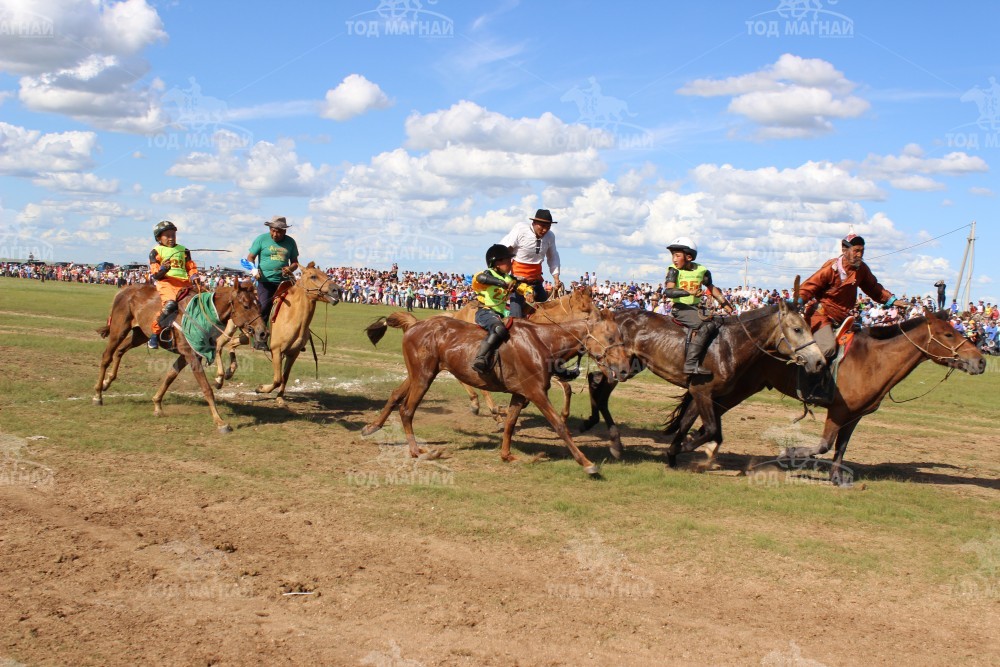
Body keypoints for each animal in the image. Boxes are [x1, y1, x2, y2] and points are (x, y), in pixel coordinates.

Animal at [93, 280, 266, 433]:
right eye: (246, 306)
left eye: (259, 305)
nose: (263, 332)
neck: (205, 313)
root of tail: (124, 290)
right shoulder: (191, 355)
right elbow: (206, 388)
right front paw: (220, 422)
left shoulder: (189, 355)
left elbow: (170, 375)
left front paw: (157, 404)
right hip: (118, 330)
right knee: (106, 356)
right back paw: (98, 394)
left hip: (139, 334)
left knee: (120, 351)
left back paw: (107, 381)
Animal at [212, 262, 341, 407]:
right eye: (313, 276)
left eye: (326, 274)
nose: (337, 290)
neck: (292, 317)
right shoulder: (276, 351)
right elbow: (278, 379)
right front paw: (260, 388)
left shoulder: (293, 353)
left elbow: (285, 377)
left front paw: (279, 398)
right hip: (231, 327)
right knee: (219, 343)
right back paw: (219, 379)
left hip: (246, 336)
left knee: (232, 342)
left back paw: (230, 371)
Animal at [360, 307, 632, 477]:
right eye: (610, 337)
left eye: (621, 337)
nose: (625, 369)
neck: (543, 342)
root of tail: (417, 324)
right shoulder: (536, 393)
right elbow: (558, 424)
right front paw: (586, 463)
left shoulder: (521, 394)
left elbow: (510, 423)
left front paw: (507, 455)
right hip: (424, 376)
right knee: (407, 409)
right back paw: (418, 451)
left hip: (418, 374)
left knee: (396, 395)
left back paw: (372, 427)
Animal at [578, 299, 825, 464]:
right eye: (797, 329)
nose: (820, 361)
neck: (730, 345)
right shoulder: (703, 391)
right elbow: (712, 429)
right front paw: (687, 445)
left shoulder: (702, 393)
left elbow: (688, 422)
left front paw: (673, 453)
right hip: (618, 367)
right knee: (600, 392)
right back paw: (613, 441)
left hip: (626, 368)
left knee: (594, 382)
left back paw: (593, 424)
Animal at [596, 311, 987, 486]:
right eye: (950, 334)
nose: (981, 360)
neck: (872, 359)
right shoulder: (837, 410)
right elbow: (823, 445)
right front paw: (785, 455)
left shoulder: (855, 415)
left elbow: (841, 449)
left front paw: (837, 478)